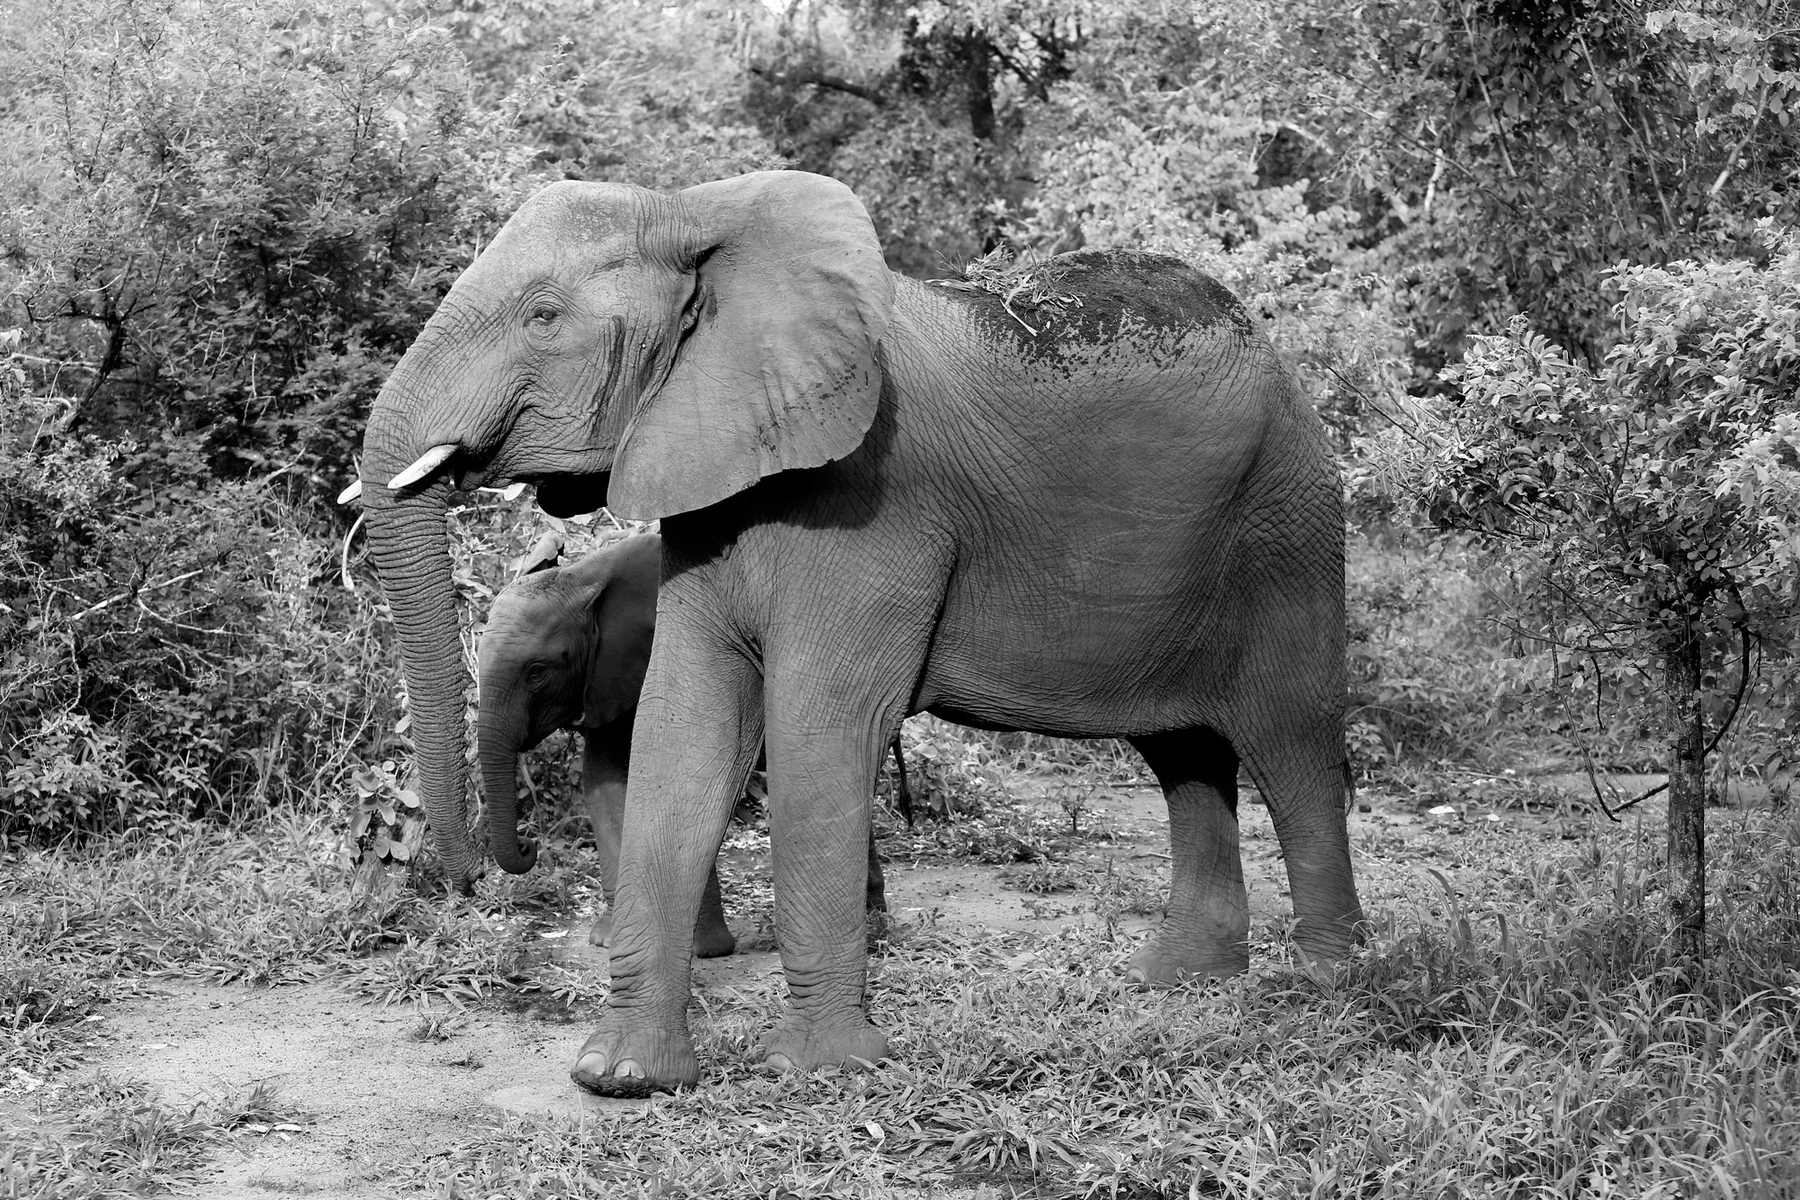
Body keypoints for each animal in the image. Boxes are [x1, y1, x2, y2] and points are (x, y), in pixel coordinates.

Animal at [475, 530, 899, 957]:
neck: (584, 578)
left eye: (536, 672)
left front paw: (704, 949)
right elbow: (602, 785)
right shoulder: (606, 679)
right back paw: (871, 917)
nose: (528, 845)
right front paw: (609, 939)